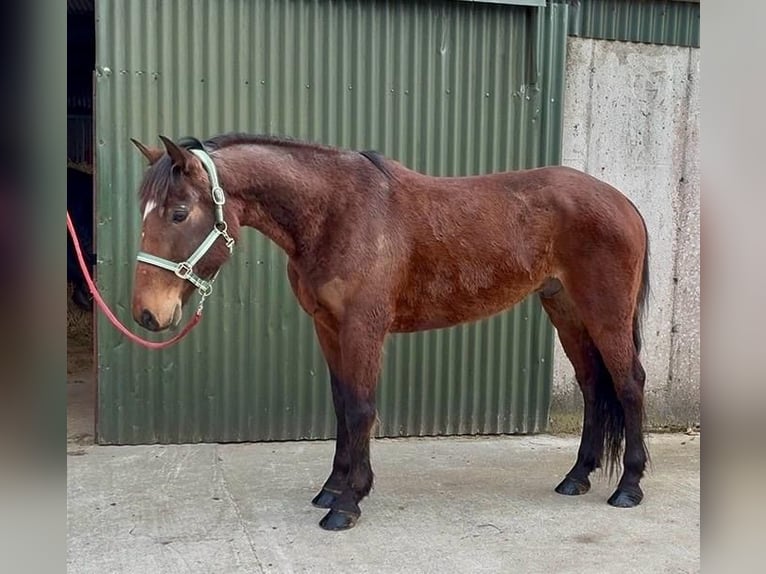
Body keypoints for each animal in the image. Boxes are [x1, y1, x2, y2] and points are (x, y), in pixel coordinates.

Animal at [129, 133, 650, 531]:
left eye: (178, 213)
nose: (147, 314)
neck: (335, 214)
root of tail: (622, 201)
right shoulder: (328, 328)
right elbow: (342, 407)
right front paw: (332, 488)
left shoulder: (363, 330)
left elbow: (361, 410)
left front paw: (347, 504)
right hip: (566, 310)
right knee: (592, 386)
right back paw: (576, 477)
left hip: (605, 313)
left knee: (628, 385)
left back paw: (629, 487)